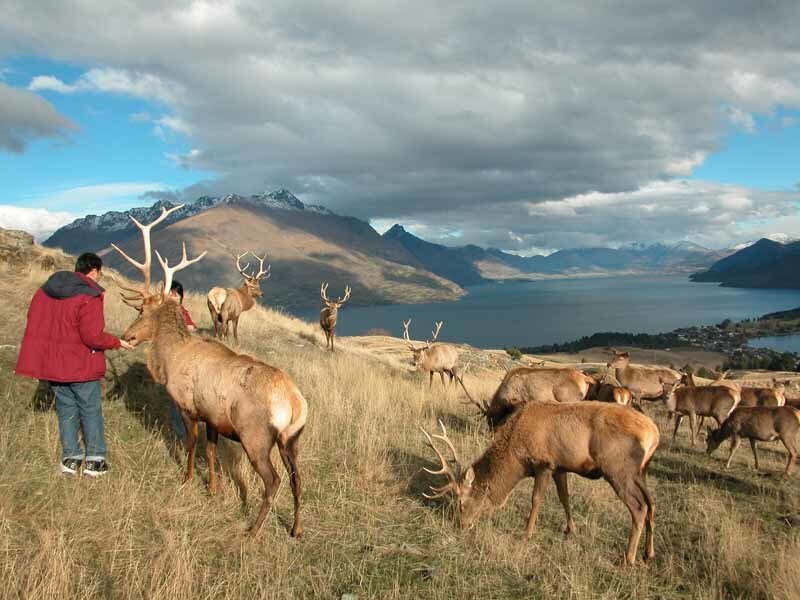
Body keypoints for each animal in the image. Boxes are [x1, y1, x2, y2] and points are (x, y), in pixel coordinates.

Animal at [113, 207, 306, 538]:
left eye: (141, 310)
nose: (127, 336)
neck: (170, 359)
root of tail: (295, 404)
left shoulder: (188, 406)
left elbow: (191, 445)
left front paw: (188, 479)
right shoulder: (213, 417)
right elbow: (212, 452)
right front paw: (214, 489)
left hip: (255, 435)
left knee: (274, 481)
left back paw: (253, 530)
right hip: (291, 439)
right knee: (298, 478)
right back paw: (295, 529)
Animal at [421, 400, 660, 566]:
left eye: (461, 502)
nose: (461, 525)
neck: (517, 457)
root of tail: (654, 434)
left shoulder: (543, 463)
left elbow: (536, 500)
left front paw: (526, 535)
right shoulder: (559, 467)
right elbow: (564, 497)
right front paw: (571, 529)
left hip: (618, 469)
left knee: (639, 507)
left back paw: (628, 559)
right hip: (641, 472)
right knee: (651, 504)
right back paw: (649, 553)